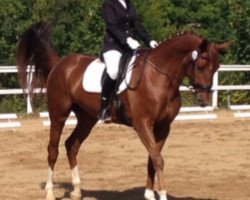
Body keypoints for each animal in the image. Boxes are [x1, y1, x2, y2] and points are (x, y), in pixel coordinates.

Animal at [16, 21, 229, 200]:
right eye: (201, 65)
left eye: (216, 68)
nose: (203, 101)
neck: (159, 77)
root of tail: (61, 64)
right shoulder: (143, 124)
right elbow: (158, 159)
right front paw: (161, 194)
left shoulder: (163, 127)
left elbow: (153, 158)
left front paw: (149, 194)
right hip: (58, 114)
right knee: (53, 150)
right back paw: (50, 192)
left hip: (87, 118)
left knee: (72, 145)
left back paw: (77, 191)